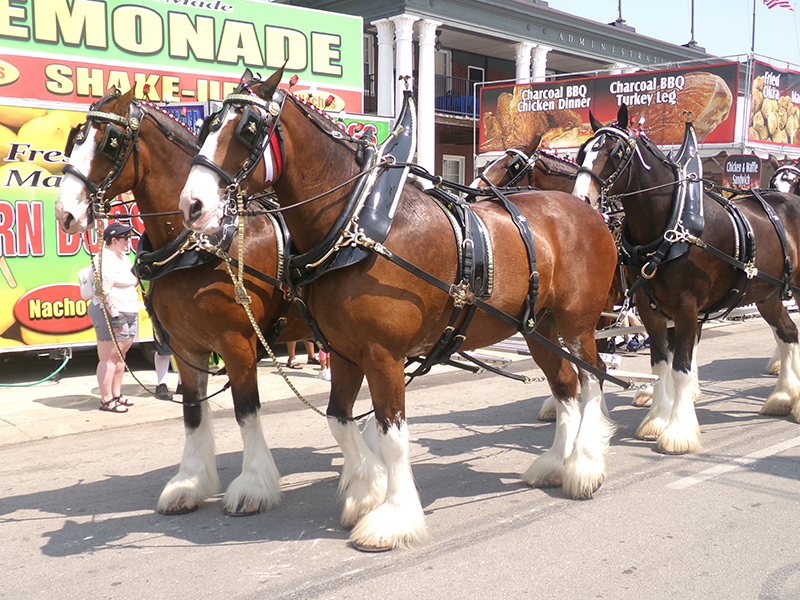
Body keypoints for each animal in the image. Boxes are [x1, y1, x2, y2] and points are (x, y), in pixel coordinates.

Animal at [54, 88, 310, 516]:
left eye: (110, 142)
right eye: (76, 138)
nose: (65, 213)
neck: (200, 245)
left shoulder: (238, 346)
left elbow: (246, 410)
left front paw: (254, 486)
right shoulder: (185, 346)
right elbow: (192, 412)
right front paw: (190, 483)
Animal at [180, 68, 620, 552]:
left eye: (248, 128)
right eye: (207, 125)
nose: (191, 205)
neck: (359, 227)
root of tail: (588, 211)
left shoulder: (383, 355)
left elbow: (392, 435)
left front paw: (393, 517)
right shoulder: (346, 352)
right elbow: (338, 421)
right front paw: (366, 492)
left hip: (577, 324)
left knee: (593, 378)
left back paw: (584, 465)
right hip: (537, 327)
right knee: (565, 387)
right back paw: (556, 463)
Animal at [576, 105, 800, 458]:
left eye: (615, 152)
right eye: (582, 152)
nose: (581, 200)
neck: (672, 226)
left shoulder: (686, 308)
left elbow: (681, 367)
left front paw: (678, 432)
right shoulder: (650, 309)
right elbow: (660, 366)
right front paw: (656, 420)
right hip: (768, 295)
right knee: (788, 333)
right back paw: (783, 397)